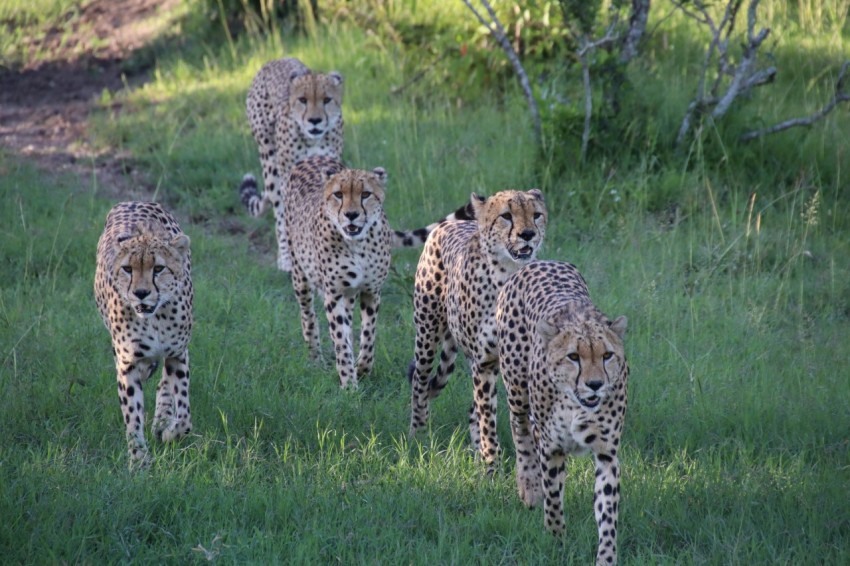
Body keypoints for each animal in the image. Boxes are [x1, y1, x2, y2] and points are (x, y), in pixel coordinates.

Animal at [94, 201, 194, 468]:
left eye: (158, 268)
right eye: (128, 269)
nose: (140, 293)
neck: (154, 319)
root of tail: (132, 201)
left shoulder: (177, 353)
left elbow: (184, 416)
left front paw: (169, 432)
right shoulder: (127, 364)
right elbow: (132, 415)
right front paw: (139, 459)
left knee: (164, 383)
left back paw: (162, 420)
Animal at [239, 57, 344, 272]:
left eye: (327, 100)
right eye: (303, 100)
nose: (314, 120)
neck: (313, 140)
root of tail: (276, 60)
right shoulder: (290, 176)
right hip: (270, 162)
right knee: (279, 211)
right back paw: (286, 257)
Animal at [286, 155, 464, 389]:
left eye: (365, 194)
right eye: (338, 194)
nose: (351, 215)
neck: (357, 244)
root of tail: (313, 157)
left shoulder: (371, 291)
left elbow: (368, 335)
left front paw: (361, 368)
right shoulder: (333, 294)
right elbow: (340, 339)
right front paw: (349, 385)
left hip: (348, 294)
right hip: (300, 275)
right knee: (308, 316)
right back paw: (315, 358)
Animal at [407, 189, 548, 469]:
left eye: (536, 214)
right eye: (507, 216)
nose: (528, 234)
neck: (507, 273)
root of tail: (452, 224)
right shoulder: (484, 362)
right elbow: (487, 417)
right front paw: (492, 465)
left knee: (473, 410)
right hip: (427, 333)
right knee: (420, 382)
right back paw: (418, 435)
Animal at [496, 260, 629, 565]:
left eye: (607, 355)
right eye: (573, 357)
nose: (595, 384)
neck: (575, 405)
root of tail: (540, 262)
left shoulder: (606, 453)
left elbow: (607, 513)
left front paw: (606, 556)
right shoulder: (551, 446)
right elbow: (553, 497)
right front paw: (556, 539)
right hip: (517, 389)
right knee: (519, 429)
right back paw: (529, 487)